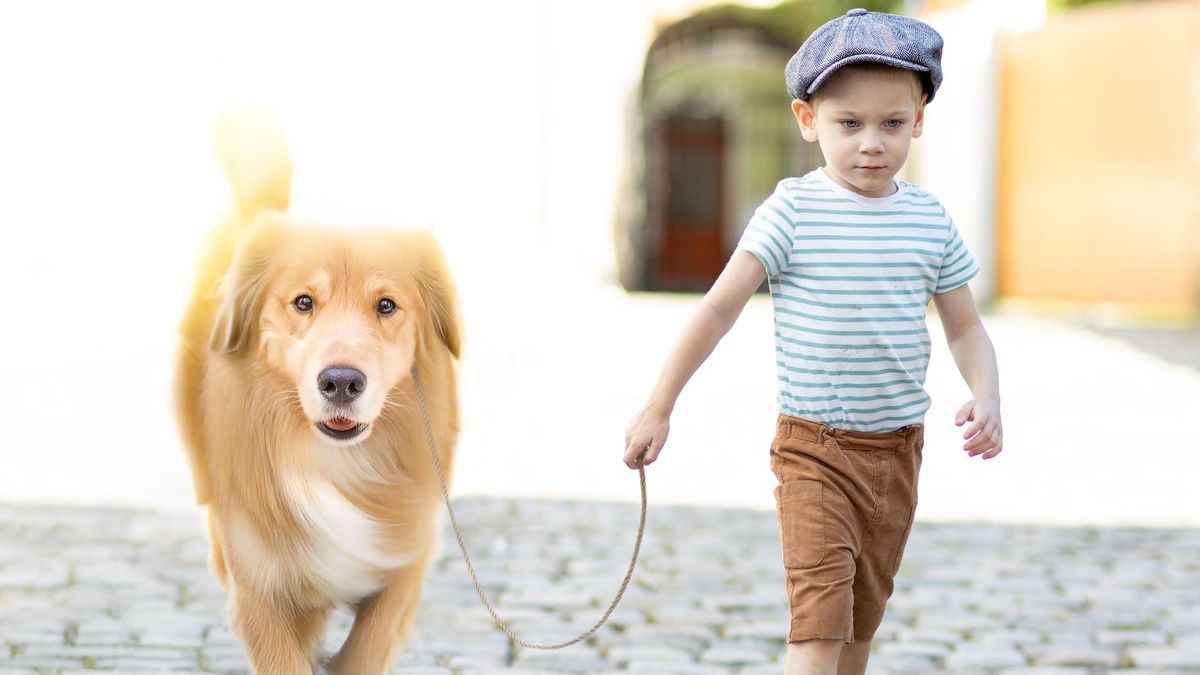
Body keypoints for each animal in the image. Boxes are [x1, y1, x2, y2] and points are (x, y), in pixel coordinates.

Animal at [175, 111, 458, 672]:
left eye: (387, 305)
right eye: (303, 302)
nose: (342, 381)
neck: (333, 461)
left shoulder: (405, 557)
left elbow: (366, 647)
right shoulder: (257, 578)